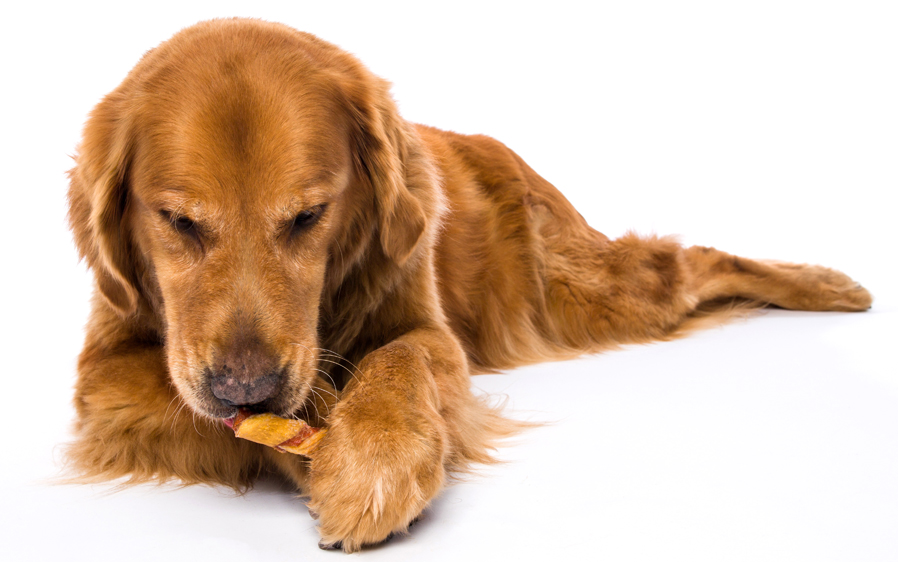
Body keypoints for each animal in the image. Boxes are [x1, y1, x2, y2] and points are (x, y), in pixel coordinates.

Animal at [66, 18, 872, 552]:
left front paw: (372, 461)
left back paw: (830, 284)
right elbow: (219, 412)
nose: (247, 388)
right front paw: (316, 432)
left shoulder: (429, 330)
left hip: (591, 292)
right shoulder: (103, 375)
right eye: (178, 222)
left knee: (695, 259)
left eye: (308, 217)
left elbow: (400, 360)